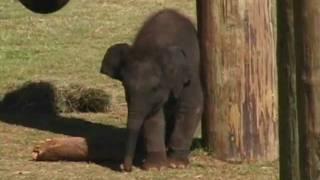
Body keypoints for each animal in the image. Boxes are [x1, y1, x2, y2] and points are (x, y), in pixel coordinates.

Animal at [101, 9, 204, 172]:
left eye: (155, 88)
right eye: (125, 86)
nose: (125, 168)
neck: (153, 45)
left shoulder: (190, 72)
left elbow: (191, 106)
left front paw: (177, 164)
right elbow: (153, 118)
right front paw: (156, 167)